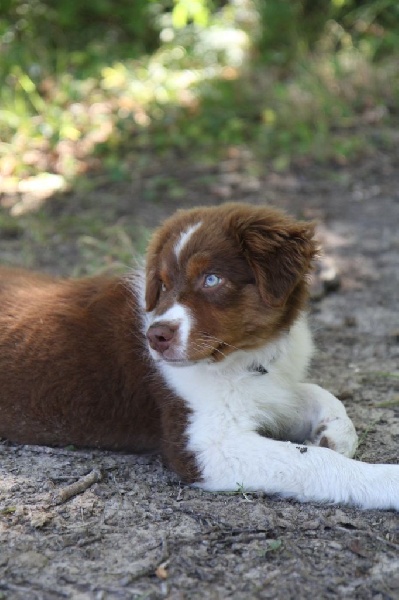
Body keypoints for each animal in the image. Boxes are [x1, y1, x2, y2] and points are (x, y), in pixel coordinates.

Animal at [0, 204, 398, 508]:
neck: (245, 354)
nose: (155, 337)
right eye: (161, 284)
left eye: (211, 279)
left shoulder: (271, 385)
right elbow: (310, 462)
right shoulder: (207, 445)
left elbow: (318, 395)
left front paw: (333, 434)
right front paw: (385, 480)